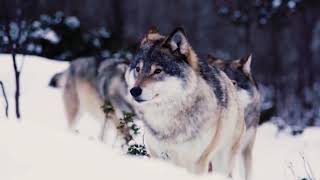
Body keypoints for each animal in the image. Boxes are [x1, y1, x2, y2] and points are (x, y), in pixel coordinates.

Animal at [125, 27, 245, 176]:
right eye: (138, 69)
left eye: (158, 71)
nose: (134, 91)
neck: (167, 118)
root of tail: (230, 82)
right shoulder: (158, 156)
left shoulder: (197, 162)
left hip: (221, 161)